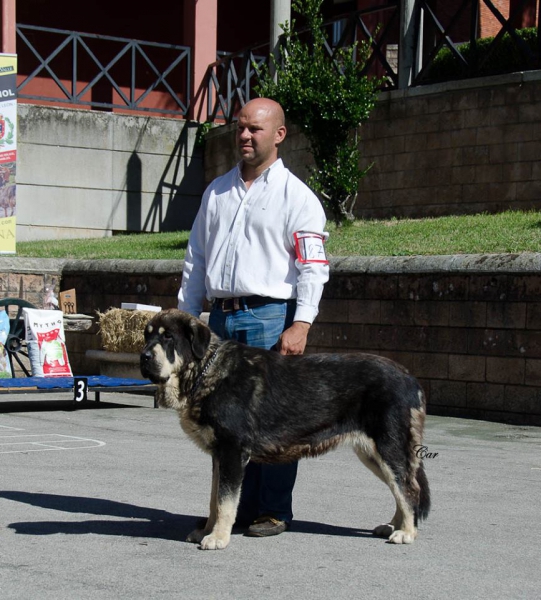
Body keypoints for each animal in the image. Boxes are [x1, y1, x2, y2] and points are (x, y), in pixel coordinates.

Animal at [139, 312, 430, 552]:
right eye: (147, 335)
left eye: (168, 337)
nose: (144, 356)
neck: (205, 371)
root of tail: (410, 378)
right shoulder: (219, 456)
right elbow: (214, 499)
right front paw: (207, 530)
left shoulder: (232, 452)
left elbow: (224, 501)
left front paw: (218, 537)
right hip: (372, 454)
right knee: (400, 487)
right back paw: (394, 525)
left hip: (388, 447)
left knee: (408, 489)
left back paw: (406, 533)